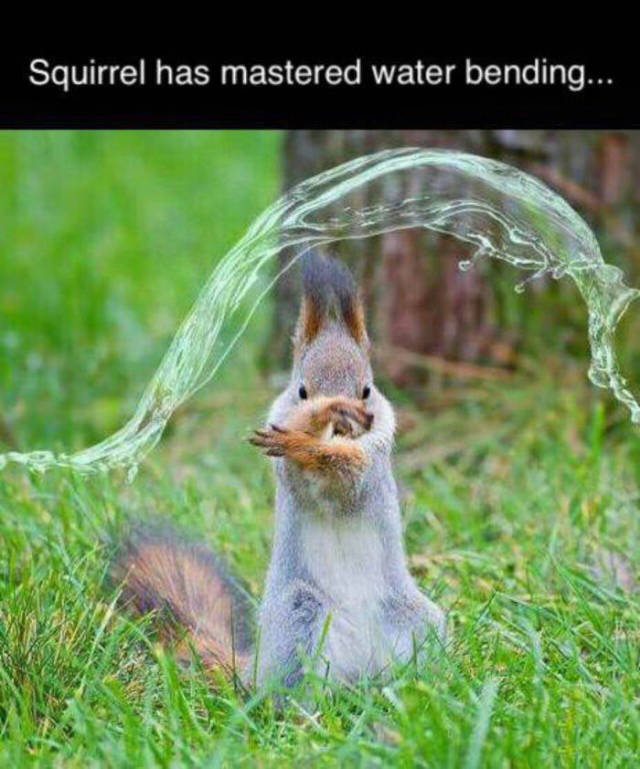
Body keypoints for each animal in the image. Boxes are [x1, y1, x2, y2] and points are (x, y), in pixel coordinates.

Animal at [112, 251, 445, 690]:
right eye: (301, 390)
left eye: (367, 390)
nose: (343, 424)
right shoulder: (287, 469)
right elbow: (301, 475)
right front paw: (311, 427)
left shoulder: (374, 465)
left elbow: (351, 480)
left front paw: (316, 444)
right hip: (299, 614)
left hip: (415, 622)